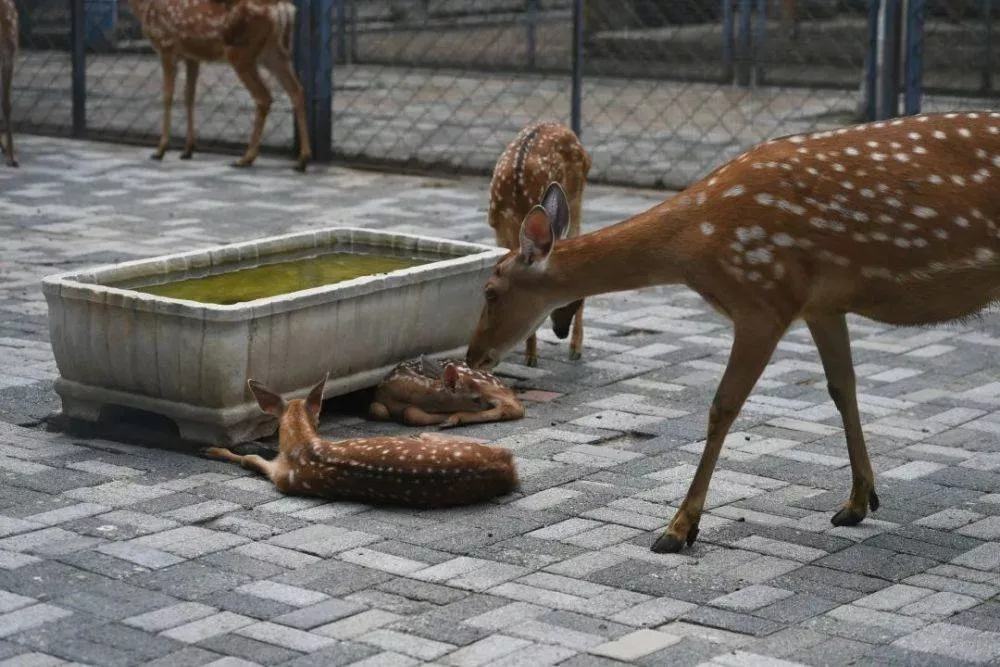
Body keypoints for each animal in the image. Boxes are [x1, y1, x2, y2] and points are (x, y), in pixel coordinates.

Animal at [127, 1, 310, 172]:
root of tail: (282, 8)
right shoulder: (191, 55)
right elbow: (189, 96)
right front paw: (188, 150)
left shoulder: (166, 45)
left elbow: (167, 95)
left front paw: (160, 150)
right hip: (273, 51)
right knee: (297, 91)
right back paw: (302, 160)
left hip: (241, 51)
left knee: (264, 96)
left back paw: (246, 158)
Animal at [368, 354, 524, 428]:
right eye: (475, 399)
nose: (486, 405)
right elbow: (378, 409)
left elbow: (410, 413)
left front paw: (446, 417)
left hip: (485, 383)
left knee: (514, 406)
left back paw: (453, 419)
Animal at [488, 121, 588, 370]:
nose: (561, 333)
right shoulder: (498, 230)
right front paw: (529, 354)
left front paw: (530, 356)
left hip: (576, 196)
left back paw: (576, 349)